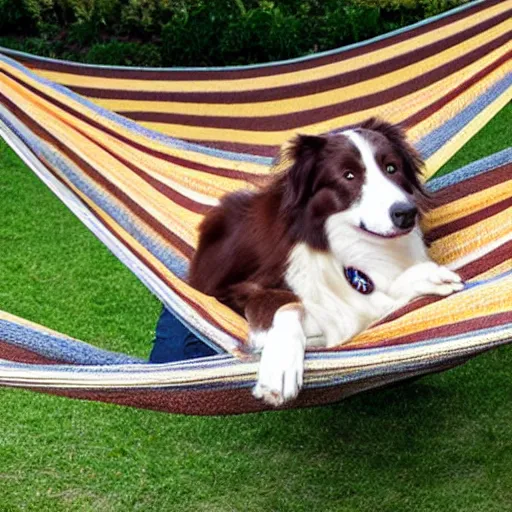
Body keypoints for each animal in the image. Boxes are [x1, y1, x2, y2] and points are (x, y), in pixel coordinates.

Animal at [189, 118, 464, 406]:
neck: (347, 245)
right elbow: (287, 304)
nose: (406, 213)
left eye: (392, 168)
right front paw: (280, 367)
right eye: (349, 176)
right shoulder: (237, 289)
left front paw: (427, 276)